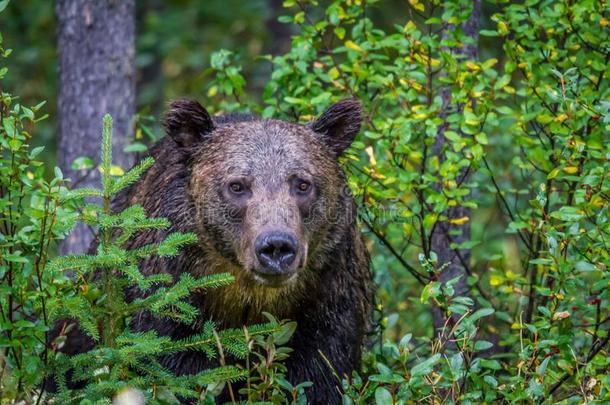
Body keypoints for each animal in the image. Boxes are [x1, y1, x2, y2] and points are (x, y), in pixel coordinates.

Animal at [63, 98, 370, 404]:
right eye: (237, 185)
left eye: (303, 184)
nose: (276, 246)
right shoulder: (169, 316)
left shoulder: (326, 307)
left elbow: (321, 377)